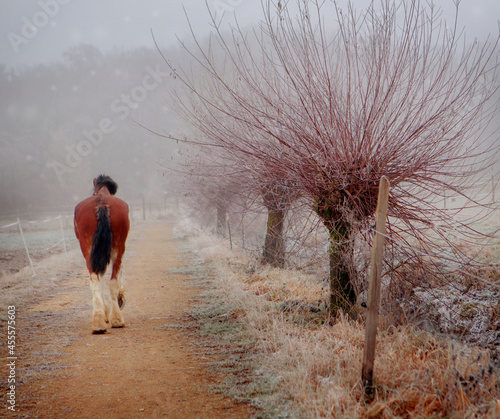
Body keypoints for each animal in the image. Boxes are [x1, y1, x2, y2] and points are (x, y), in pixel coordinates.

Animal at [73, 174, 130, 334]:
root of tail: (101, 204)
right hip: (117, 249)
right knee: (110, 281)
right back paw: (113, 319)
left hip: (88, 250)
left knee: (96, 279)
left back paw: (101, 322)